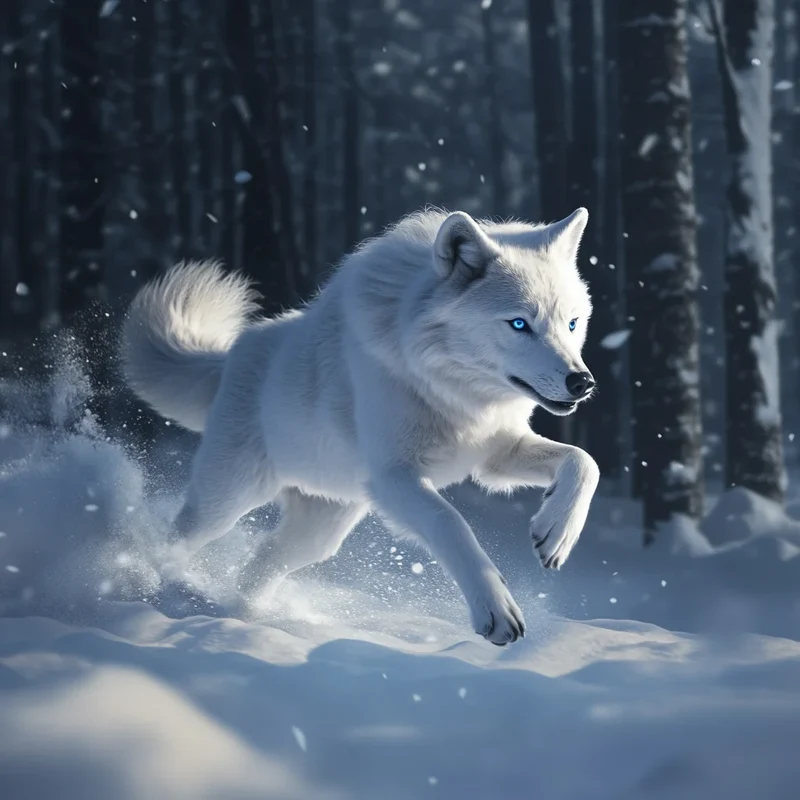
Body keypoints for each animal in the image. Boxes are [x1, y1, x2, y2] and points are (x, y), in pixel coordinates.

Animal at [121, 207, 599, 645]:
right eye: (519, 323)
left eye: (571, 323)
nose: (583, 382)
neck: (451, 390)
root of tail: (233, 354)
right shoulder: (394, 477)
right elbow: (450, 522)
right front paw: (495, 609)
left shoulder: (495, 457)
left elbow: (583, 462)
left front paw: (557, 533)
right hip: (227, 500)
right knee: (177, 536)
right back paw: (158, 587)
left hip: (319, 533)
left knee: (263, 560)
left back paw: (248, 621)